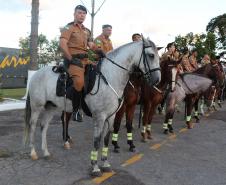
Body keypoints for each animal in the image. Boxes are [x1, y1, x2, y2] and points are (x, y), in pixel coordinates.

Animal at [23, 37, 161, 176]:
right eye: (151, 55)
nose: (157, 80)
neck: (110, 77)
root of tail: (36, 74)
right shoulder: (99, 117)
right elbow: (97, 140)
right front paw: (95, 167)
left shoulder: (110, 117)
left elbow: (106, 139)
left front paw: (105, 164)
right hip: (37, 107)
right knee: (33, 126)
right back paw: (33, 152)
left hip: (51, 107)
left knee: (44, 127)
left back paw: (46, 152)